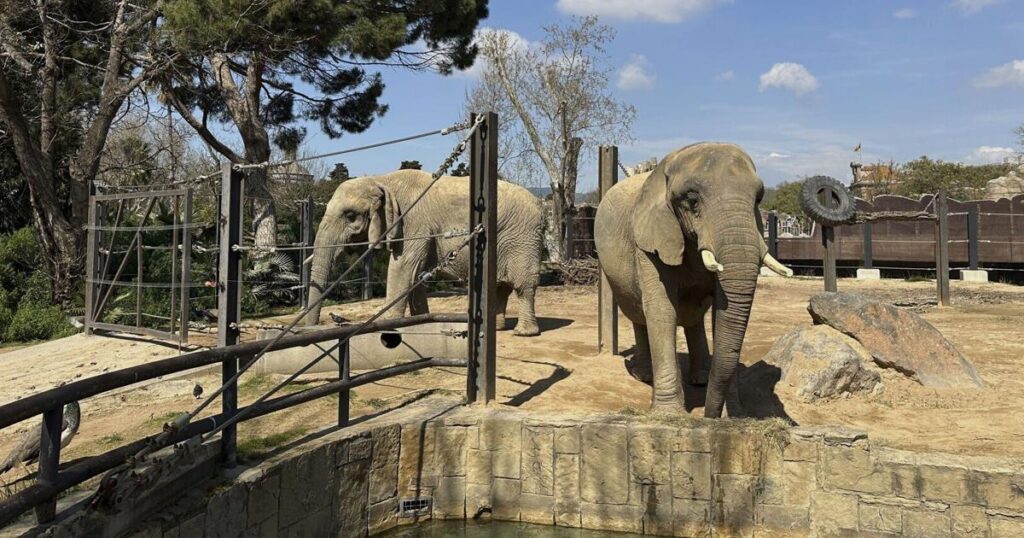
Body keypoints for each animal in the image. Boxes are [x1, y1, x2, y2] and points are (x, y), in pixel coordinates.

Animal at [304, 169, 543, 336]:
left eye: (350, 215)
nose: (313, 328)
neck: (383, 180)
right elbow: (415, 275)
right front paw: (421, 321)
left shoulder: (414, 223)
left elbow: (403, 268)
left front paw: (388, 326)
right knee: (499, 286)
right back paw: (497, 328)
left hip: (522, 238)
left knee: (523, 285)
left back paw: (524, 333)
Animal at [593, 143, 792, 418]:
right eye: (692, 201)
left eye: (759, 199)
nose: (709, 417)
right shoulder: (649, 240)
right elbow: (662, 309)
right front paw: (669, 416)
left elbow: (723, 312)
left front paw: (734, 416)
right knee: (637, 313)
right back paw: (645, 376)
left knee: (693, 318)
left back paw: (701, 379)